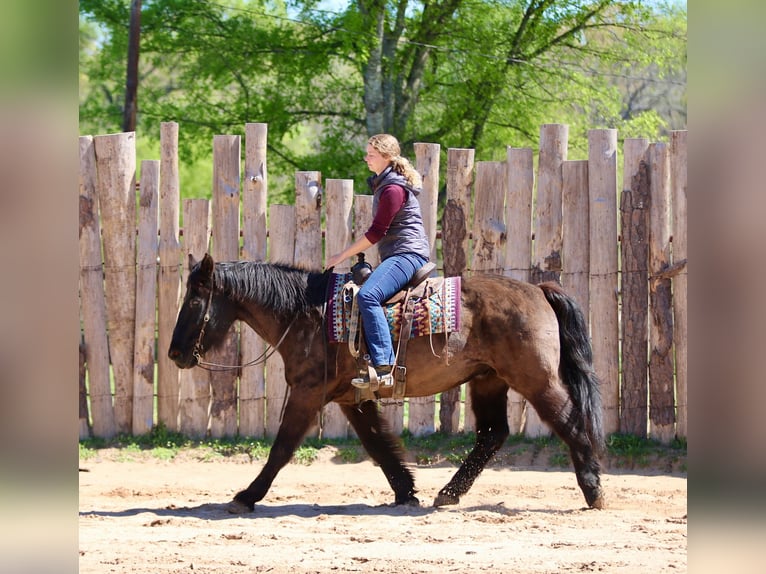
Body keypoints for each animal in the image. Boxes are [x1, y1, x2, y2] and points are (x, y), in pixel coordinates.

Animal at [168, 253, 606, 513]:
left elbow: (281, 449)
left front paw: (246, 496)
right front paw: (405, 491)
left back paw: (594, 490)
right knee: (493, 434)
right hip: (488, 381)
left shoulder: (307, 394)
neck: (307, 315)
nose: (174, 353)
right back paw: (449, 492)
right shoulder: (352, 398)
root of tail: (540, 291)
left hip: (536, 381)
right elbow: (379, 445)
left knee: (570, 424)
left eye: (194, 300)